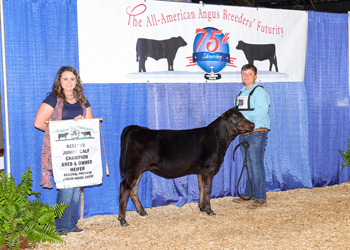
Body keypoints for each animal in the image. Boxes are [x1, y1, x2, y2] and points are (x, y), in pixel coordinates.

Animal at [118, 107, 254, 227]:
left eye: (243, 115)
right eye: (236, 118)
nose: (252, 125)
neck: (218, 139)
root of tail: (137, 128)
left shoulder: (201, 170)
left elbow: (201, 187)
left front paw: (201, 207)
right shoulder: (209, 167)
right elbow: (208, 189)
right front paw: (209, 210)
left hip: (138, 169)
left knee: (133, 189)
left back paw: (142, 212)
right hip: (134, 168)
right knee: (125, 187)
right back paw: (122, 220)